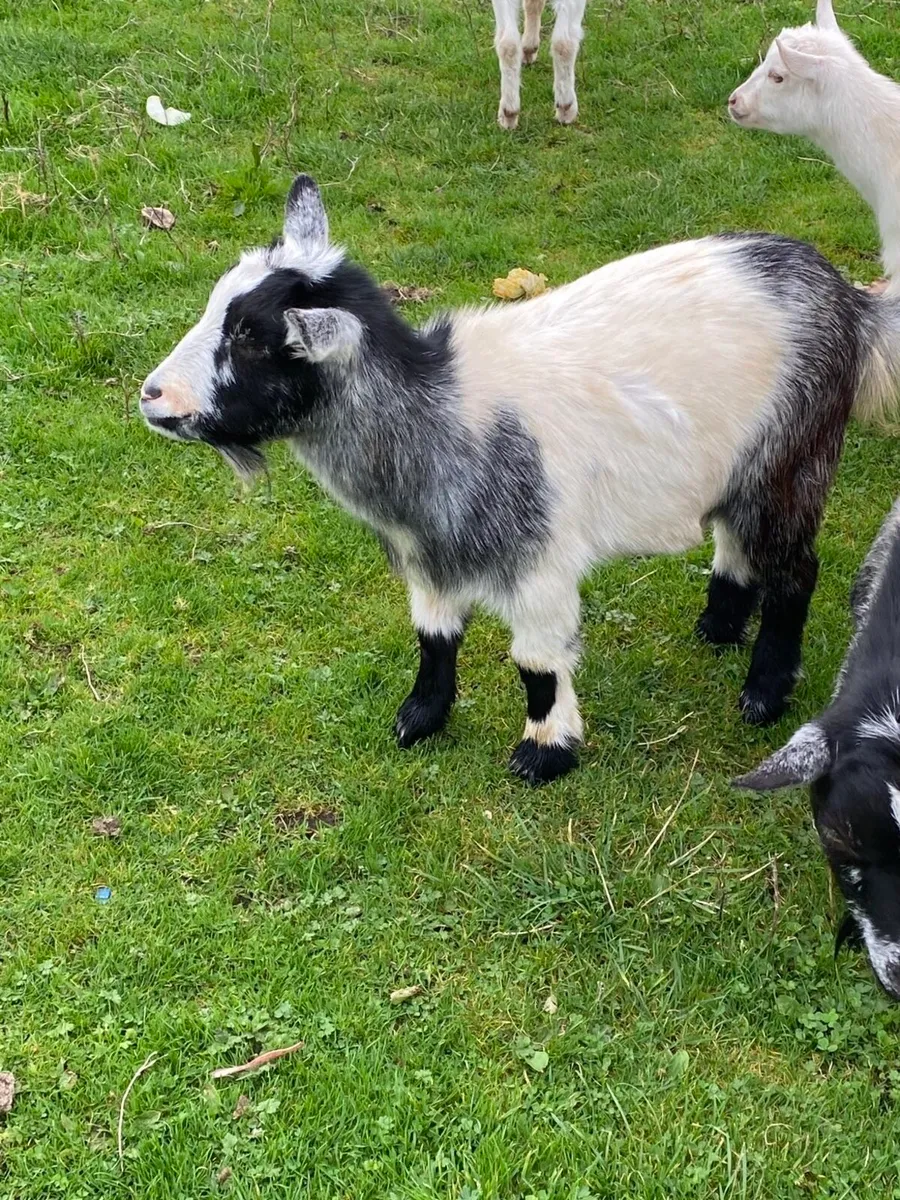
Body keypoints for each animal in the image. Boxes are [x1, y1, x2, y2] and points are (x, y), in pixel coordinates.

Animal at [140, 174, 900, 784]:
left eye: (251, 336)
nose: (151, 395)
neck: (436, 413)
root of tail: (850, 300)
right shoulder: (433, 556)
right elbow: (434, 637)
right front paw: (419, 718)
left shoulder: (538, 565)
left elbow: (536, 661)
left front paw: (544, 753)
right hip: (742, 468)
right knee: (736, 544)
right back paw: (716, 628)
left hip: (794, 458)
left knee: (795, 571)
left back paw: (763, 694)